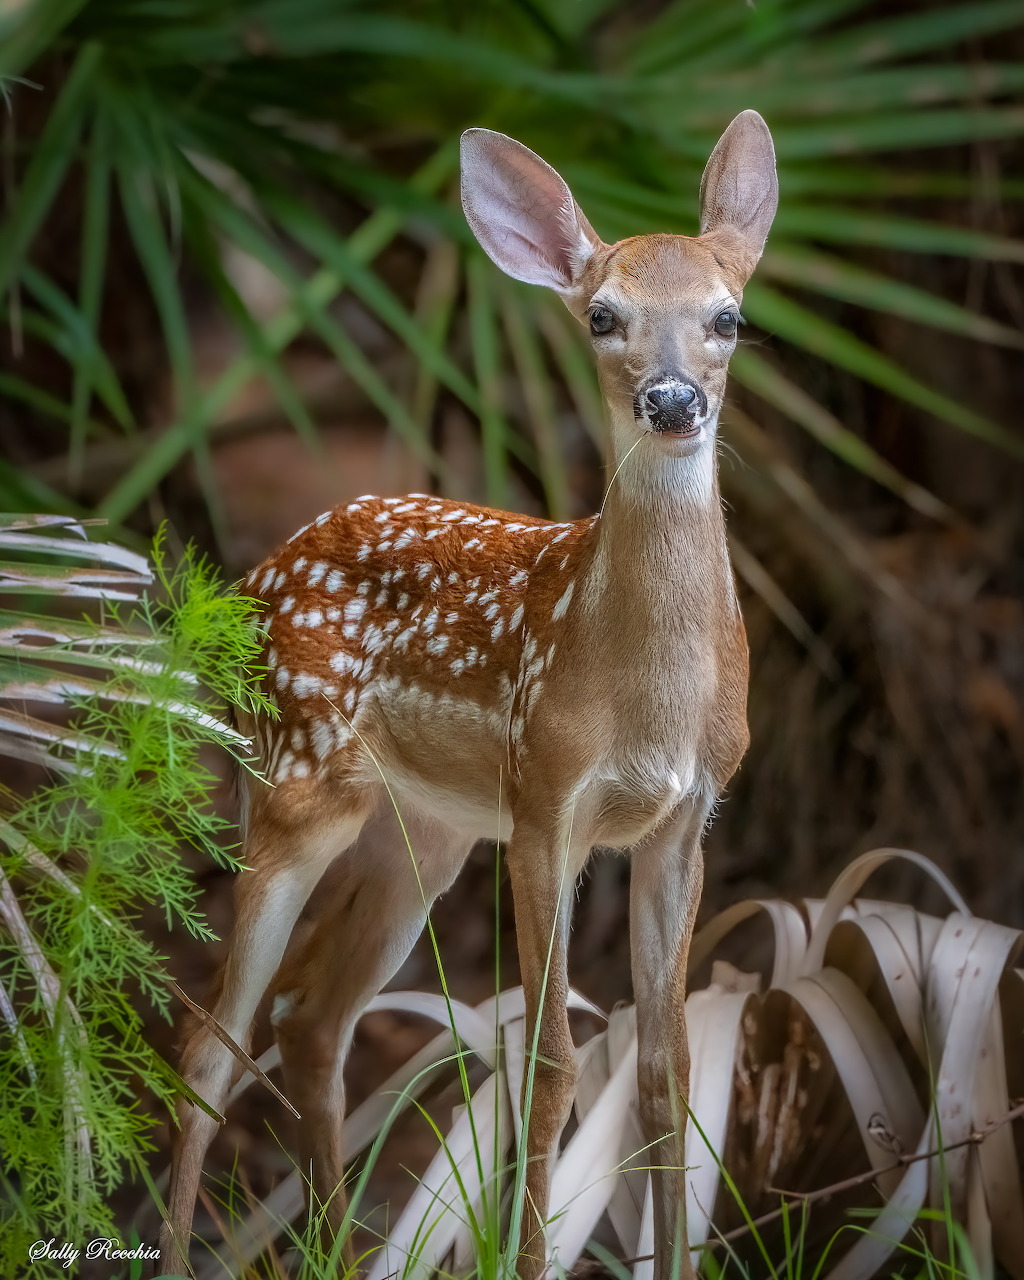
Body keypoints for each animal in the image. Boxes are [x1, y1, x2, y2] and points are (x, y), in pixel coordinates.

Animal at [159, 110, 777, 1279]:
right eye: (602, 315)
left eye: (728, 317)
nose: (672, 400)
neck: (645, 694)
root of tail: (248, 585)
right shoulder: (545, 797)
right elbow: (551, 1063)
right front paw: (527, 1258)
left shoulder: (687, 816)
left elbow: (667, 1068)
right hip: (297, 783)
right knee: (210, 1041)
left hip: (422, 832)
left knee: (311, 1019)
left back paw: (337, 1243)